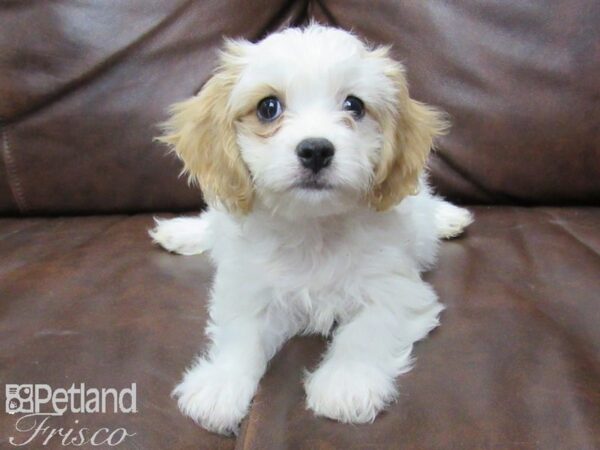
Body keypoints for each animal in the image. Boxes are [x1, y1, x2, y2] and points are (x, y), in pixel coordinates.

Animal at [149, 22, 468, 434]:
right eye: (268, 107)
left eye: (354, 105)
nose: (316, 149)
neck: (312, 227)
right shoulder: (248, 286)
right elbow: (241, 334)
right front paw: (221, 386)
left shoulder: (397, 290)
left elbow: (366, 331)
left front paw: (346, 383)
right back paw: (181, 232)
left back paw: (447, 217)